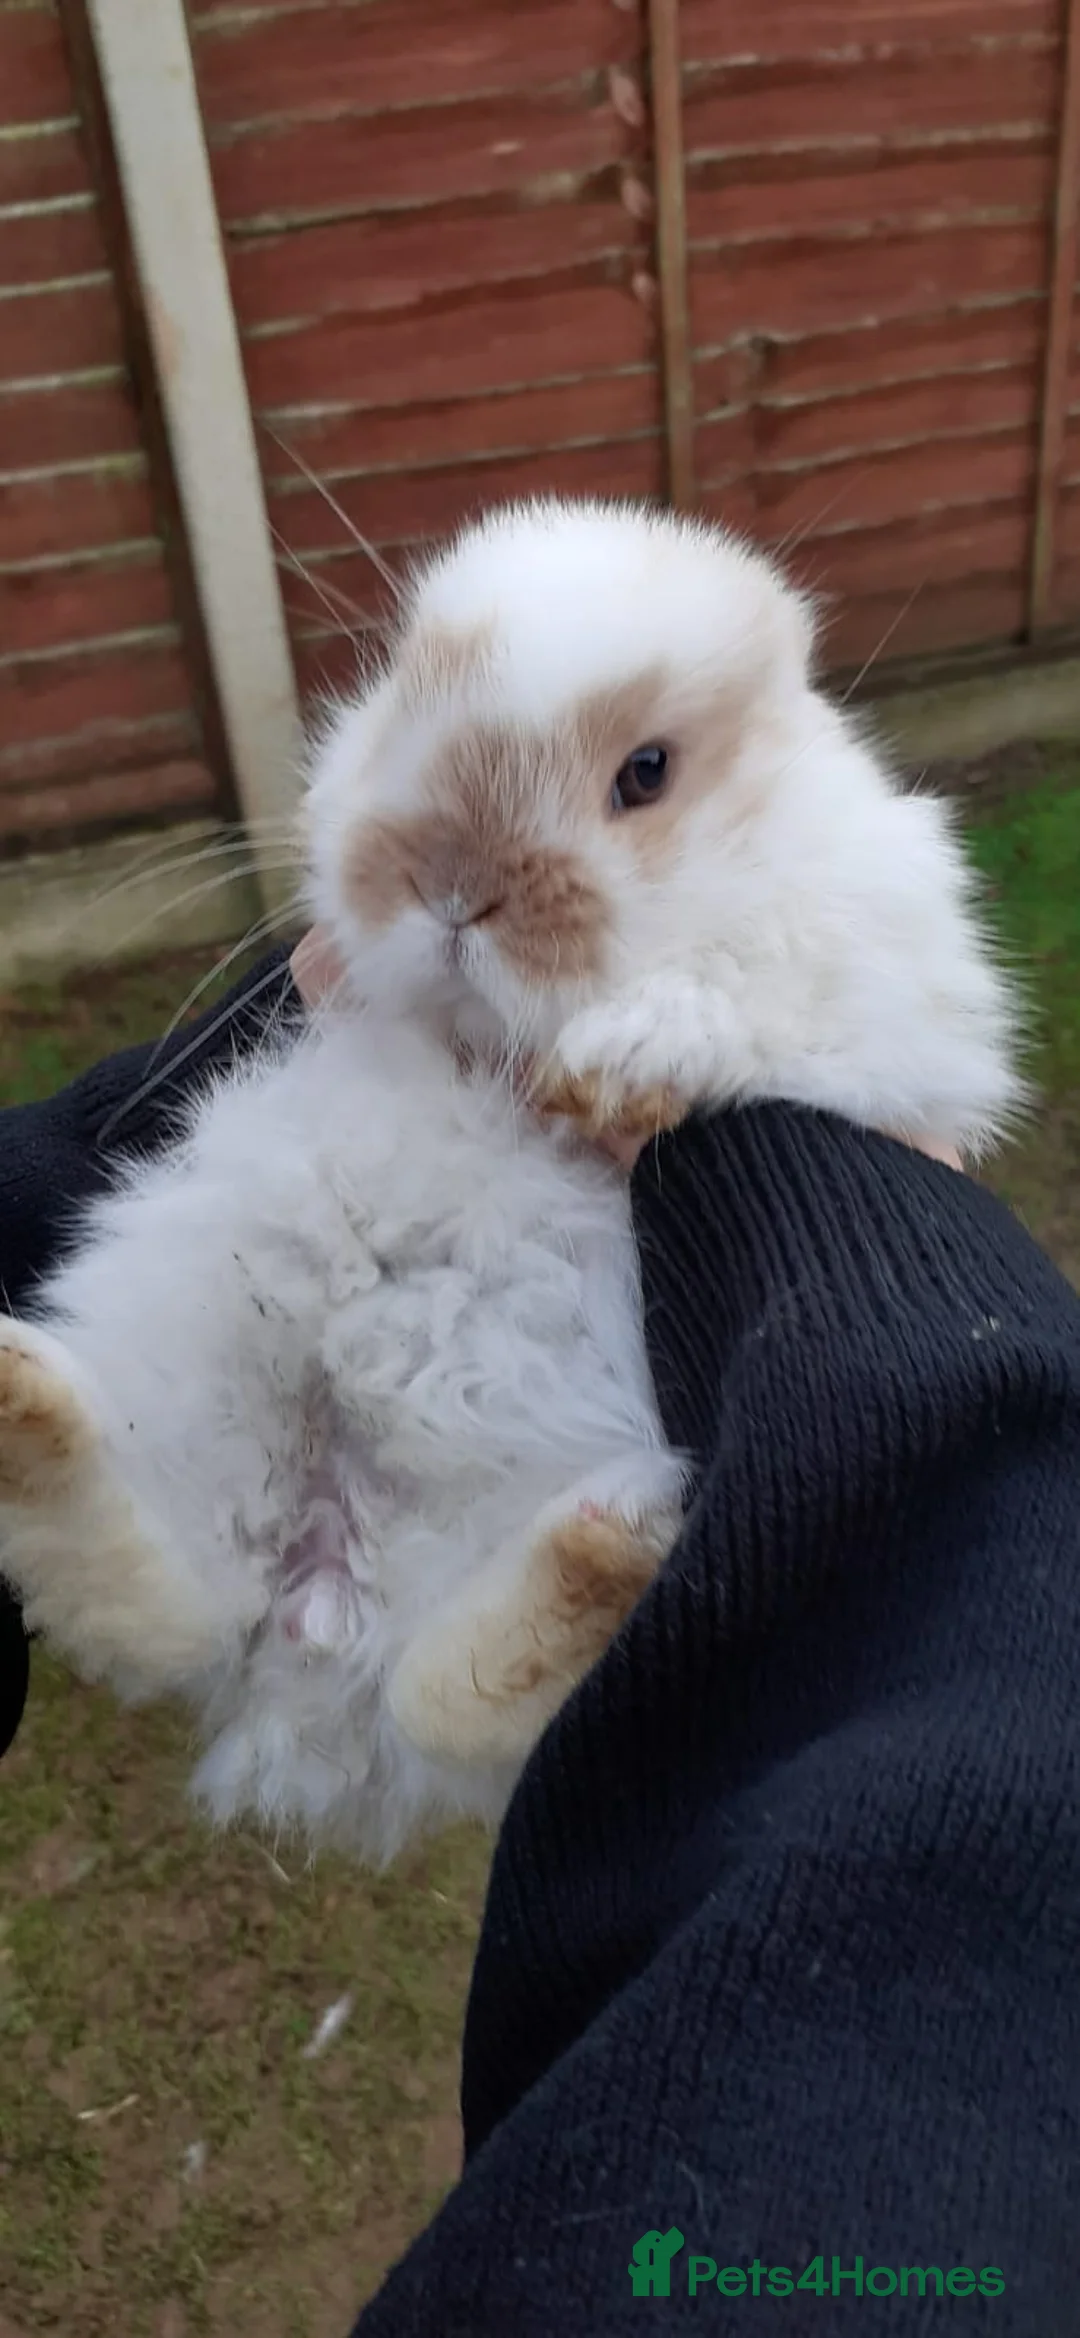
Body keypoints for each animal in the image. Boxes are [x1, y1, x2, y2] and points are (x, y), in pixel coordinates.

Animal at [0, 496, 1021, 1863]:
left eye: (647, 772)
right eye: (400, 700)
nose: (447, 884)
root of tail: (326, 1618)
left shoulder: (887, 991)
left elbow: (742, 991)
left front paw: (622, 1061)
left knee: (458, 1695)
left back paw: (620, 1547)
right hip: (189, 1358)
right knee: (168, 1599)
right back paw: (23, 1398)